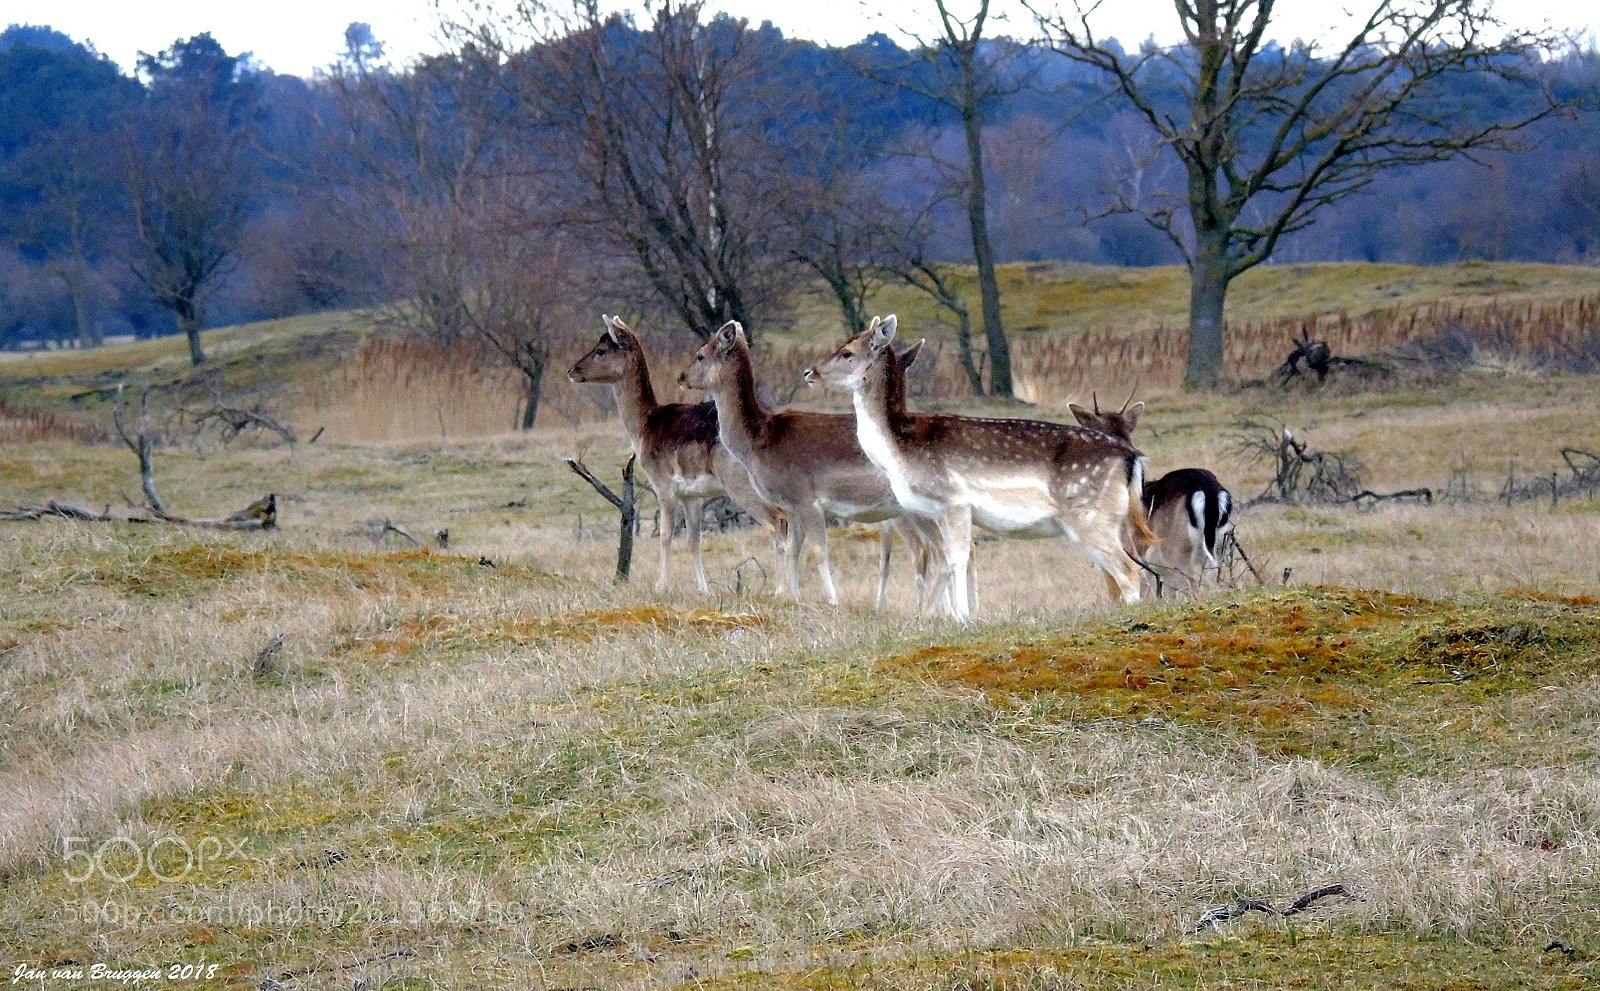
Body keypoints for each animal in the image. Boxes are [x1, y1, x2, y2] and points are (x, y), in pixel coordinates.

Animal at [678, 321, 947, 608]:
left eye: (700, 355)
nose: (680, 377)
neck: (757, 441)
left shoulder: (806, 499)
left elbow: (818, 550)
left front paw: (833, 600)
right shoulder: (791, 506)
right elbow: (794, 550)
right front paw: (792, 596)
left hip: (912, 512)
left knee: (933, 550)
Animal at [806, 315, 1158, 621]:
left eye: (847, 352)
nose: (810, 372)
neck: (899, 453)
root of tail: (1132, 457)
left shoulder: (955, 500)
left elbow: (961, 557)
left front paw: (962, 617)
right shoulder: (936, 511)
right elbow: (949, 559)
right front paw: (956, 615)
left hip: (1090, 515)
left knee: (1130, 571)